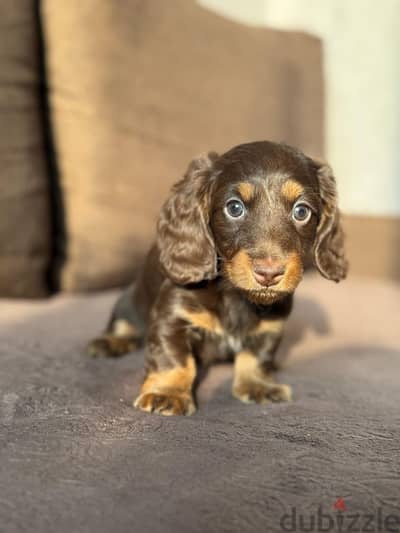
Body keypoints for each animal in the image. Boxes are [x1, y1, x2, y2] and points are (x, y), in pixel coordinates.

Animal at [86, 141, 346, 416]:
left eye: (301, 211)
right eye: (234, 208)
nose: (269, 273)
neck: (234, 294)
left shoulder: (271, 325)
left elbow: (257, 356)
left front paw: (259, 385)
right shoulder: (172, 315)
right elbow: (174, 358)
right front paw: (167, 393)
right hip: (127, 302)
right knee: (125, 325)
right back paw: (110, 342)